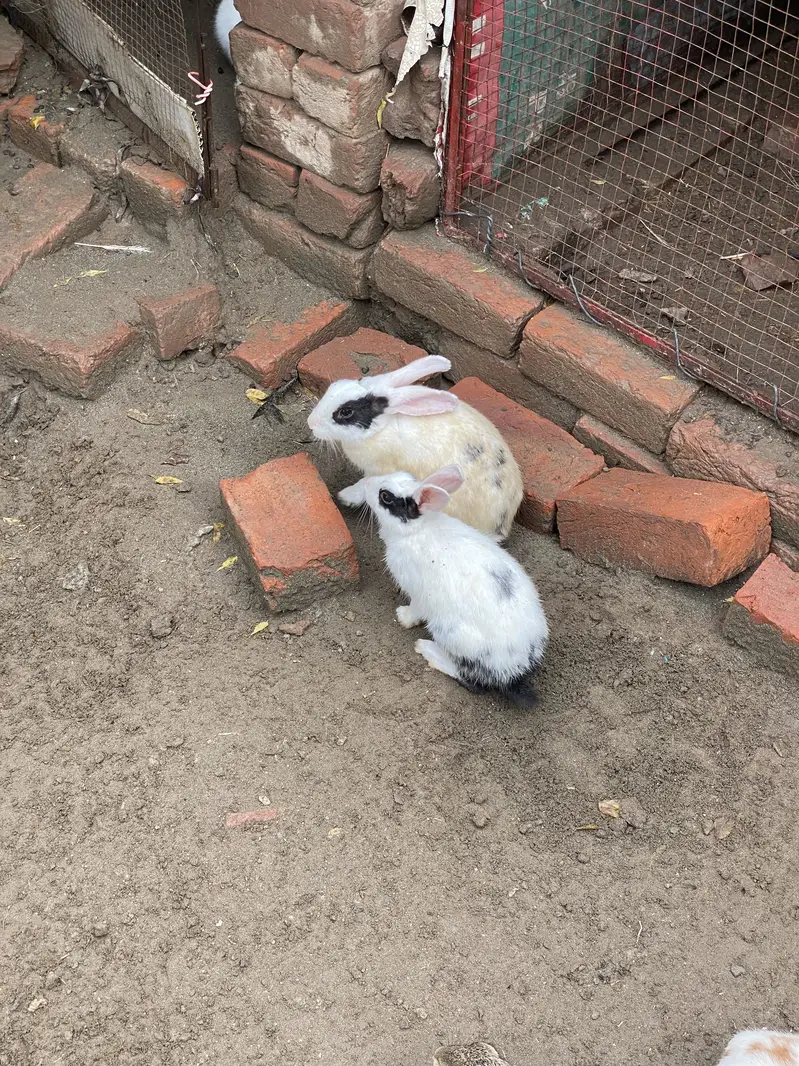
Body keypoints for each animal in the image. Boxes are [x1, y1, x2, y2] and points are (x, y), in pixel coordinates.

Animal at [307, 354, 523, 542]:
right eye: (336, 385)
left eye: (346, 412)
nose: (311, 422)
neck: (383, 427)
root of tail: (500, 526)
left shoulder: (380, 470)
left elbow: (365, 485)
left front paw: (346, 497)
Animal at [338, 464, 548, 706]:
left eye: (385, 496)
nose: (367, 483)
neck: (417, 530)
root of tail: (517, 671)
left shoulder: (418, 594)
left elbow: (414, 611)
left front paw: (403, 617)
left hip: (451, 635)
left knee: (472, 681)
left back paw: (428, 650)